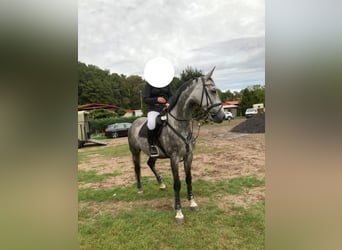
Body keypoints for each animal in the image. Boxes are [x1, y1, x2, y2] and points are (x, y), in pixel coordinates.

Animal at [128, 67, 224, 224]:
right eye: (213, 91)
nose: (221, 116)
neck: (180, 123)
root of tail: (134, 123)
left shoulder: (189, 156)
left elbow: (188, 179)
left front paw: (192, 203)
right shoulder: (174, 158)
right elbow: (177, 183)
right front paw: (179, 212)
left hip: (154, 153)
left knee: (150, 163)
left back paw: (161, 183)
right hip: (135, 152)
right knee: (137, 169)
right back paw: (140, 189)